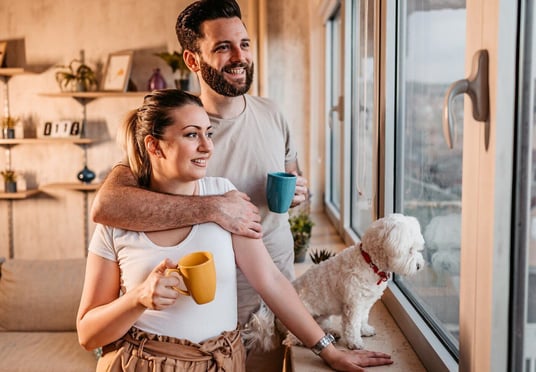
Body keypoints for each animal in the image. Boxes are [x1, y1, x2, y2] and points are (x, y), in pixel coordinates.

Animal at [244, 214, 428, 350]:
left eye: (417, 248)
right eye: (410, 250)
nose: (420, 266)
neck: (369, 262)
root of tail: (275, 318)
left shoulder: (365, 303)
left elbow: (363, 319)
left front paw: (364, 330)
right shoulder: (353, 305)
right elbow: (352, 325)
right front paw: (355, 343)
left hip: (323, 315)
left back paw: (332, 332)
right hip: (301, 316)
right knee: (291, 338)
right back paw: (303, 339)